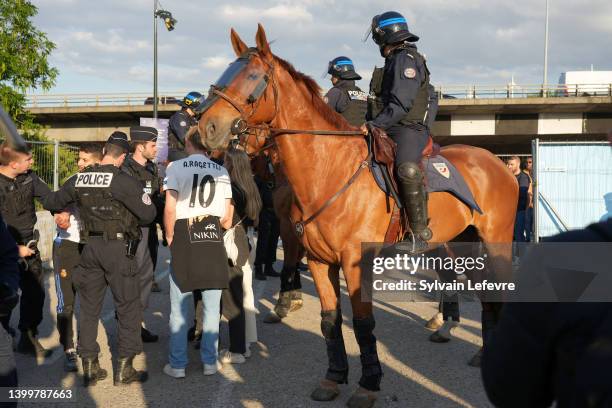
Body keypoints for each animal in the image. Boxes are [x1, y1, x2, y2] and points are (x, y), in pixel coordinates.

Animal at [200, 23, 516, 406]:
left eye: (253, 77)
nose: (205, 127)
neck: (328, 170)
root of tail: (497, 163)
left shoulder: (353, 263)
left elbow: (363, 325)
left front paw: (368, 384)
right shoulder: (319, 261)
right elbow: (330, 320)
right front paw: (334, 377)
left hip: (496, 243)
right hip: (463, 244)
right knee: (487, 296)